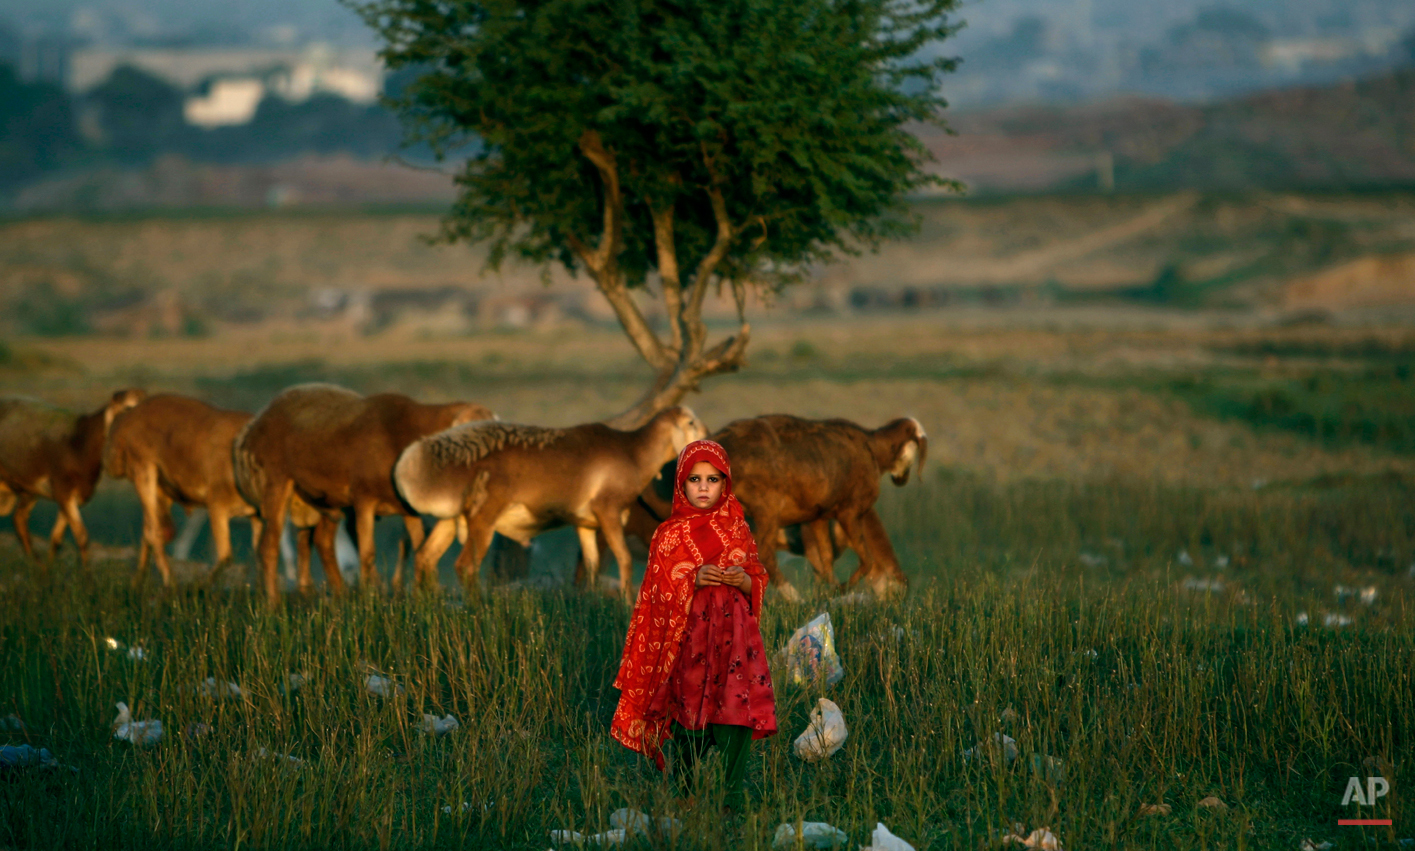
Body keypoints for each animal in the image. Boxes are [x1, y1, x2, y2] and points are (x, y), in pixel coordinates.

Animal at [0, 390, 145, 563]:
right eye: (127, 408)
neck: (80, 444)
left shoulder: (73, 495)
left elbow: (56, 537)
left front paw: (49, 568)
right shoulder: (63, 491)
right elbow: (82, 536)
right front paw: (86, 571)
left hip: (29, 488)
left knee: (19, 519)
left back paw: (36, 564)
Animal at [103, 393, 342, 586]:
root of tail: (126, 420)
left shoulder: (256, 515)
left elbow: (258, 555)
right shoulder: (217, 506)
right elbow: (226, 555)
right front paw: (199, 588)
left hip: (160, 489)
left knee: (150, 530)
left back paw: (139, 583)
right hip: (144, 472)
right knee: (156, 531)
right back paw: (169, 584)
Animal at [234, 382, 495, 600]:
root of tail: (255, 424)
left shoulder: (407, 509)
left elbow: (420, 546)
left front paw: (428, 595)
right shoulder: (363, 500)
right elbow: (368, 554)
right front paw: (373, 598)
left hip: (324, 499)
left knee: (321, 541)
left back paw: (339, 597)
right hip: (276, 483)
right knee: (269, 547)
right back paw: (273, 605)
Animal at [396, 407, 704, 594]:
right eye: (691, 422)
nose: (706, 441)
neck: (632, 450)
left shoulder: (585, 526)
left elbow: (591, 566)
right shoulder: (609, 513)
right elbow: (625, 560)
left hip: (450, 522)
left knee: (425, 558)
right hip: (482, 522)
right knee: (465, 566)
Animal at [707, 410, 928, 597]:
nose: (901, 479)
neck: (874, 448)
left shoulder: (819, 516)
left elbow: (825, 562)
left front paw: (827, 595)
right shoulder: (850, 511)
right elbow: (866, 560)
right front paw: (839, 590)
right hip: (767, 509)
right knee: (764, 556)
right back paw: (795, 599)